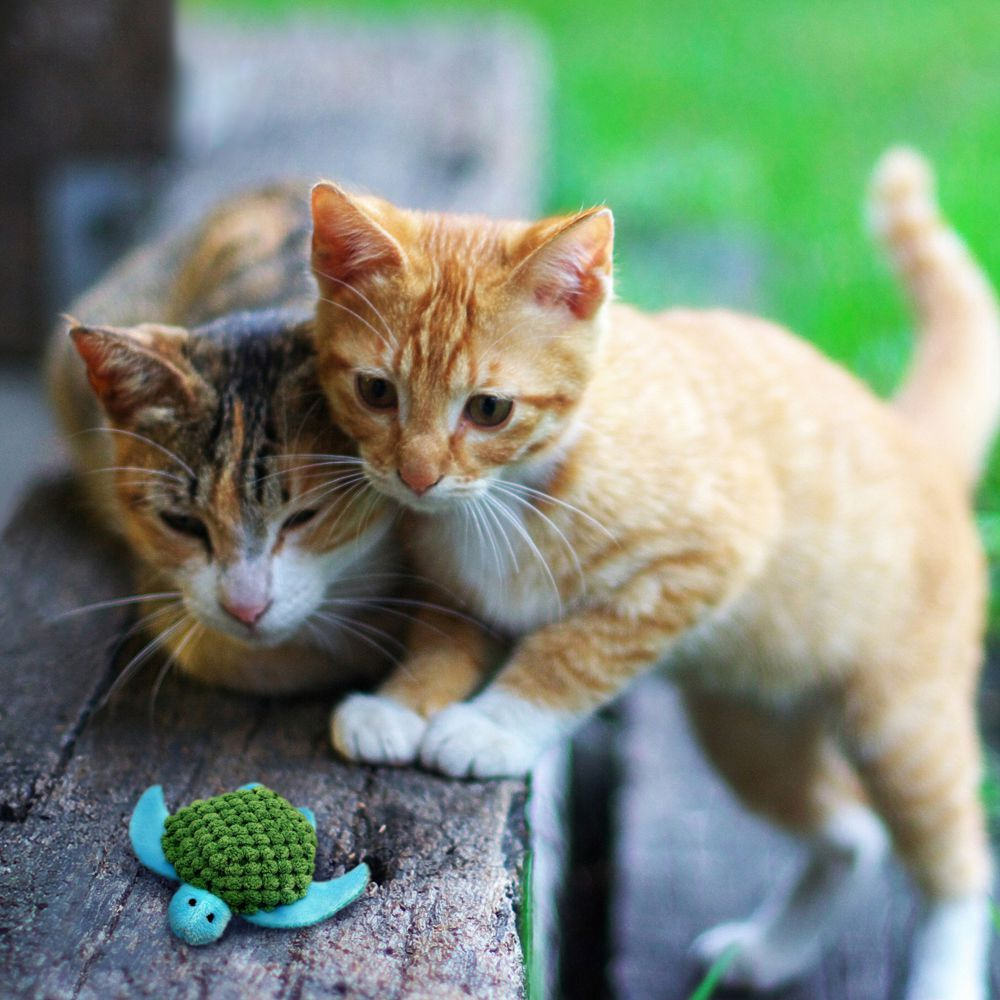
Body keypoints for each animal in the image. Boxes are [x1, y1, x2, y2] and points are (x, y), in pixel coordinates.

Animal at [308, 150, 996, 1000]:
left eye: (490, 409)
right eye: (376, 392)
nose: (417, 477)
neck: (504, 495)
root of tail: (914, 439)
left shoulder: (705, 556)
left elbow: (571, 651)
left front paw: (495, 724)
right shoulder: (453, 590)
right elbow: (441, 640)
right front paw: (402, 703)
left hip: (902, 725)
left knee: (957, 863)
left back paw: (942, 973)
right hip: (746, 728)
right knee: (851, 832)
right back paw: (771, 951)